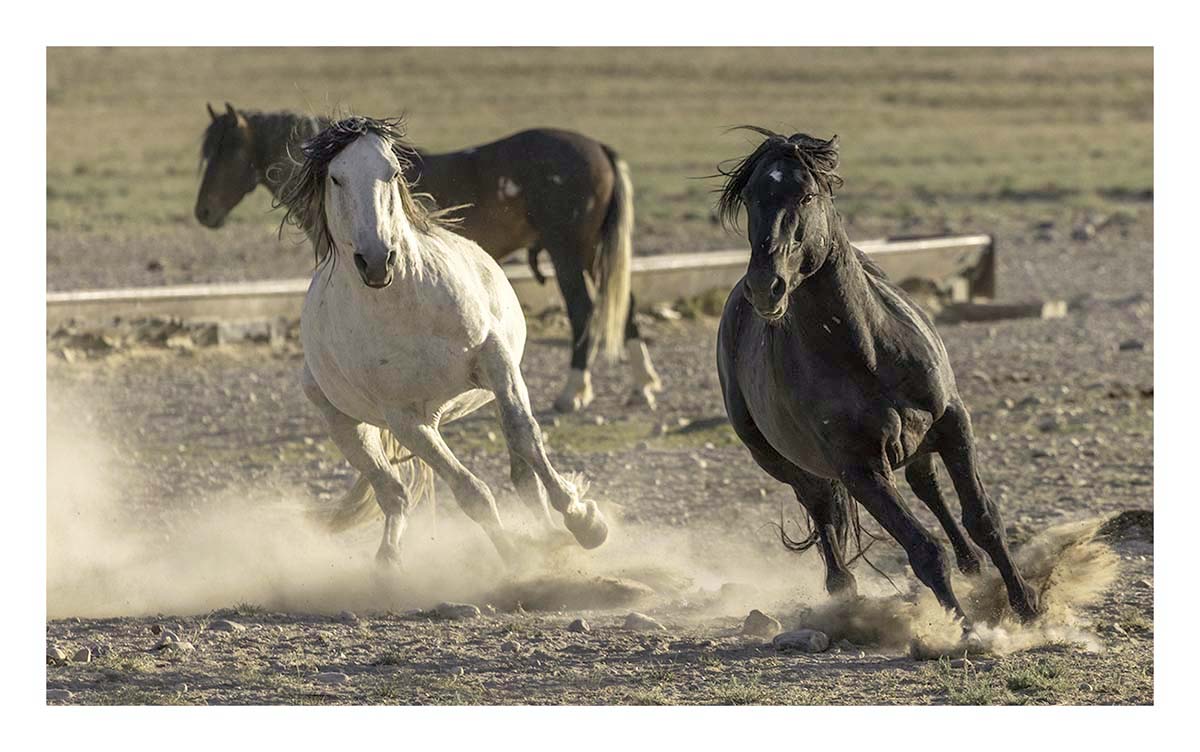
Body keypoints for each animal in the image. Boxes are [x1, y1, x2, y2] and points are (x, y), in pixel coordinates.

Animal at [196, 103, 663, 413]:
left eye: (227, 150)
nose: (203, 212)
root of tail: (597, 147)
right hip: (592, 253)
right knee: (624, 304)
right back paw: (642, 385)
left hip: (568, 252)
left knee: (584, 310)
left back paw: (573, 392)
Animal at [276, 115, 609, 567]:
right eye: (336, 178)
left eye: (392, 173)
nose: (377, 261)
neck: (407, 307)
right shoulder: (404, 419)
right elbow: (471, 493)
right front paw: (516, 558)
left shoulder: (495, 361)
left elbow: (526, 437)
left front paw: (585, 522)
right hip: (349, 425)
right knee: (394, 494)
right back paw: (388, 560)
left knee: (522, 474)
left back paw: (551, 534)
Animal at [713, 127, 1039, 624]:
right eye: (750, 198)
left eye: (806, 194)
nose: (765, 287)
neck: (865, 353)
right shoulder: (860, 469)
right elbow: (923, 550)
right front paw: (966, 628)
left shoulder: (953, 422)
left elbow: (984, 518)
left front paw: (1027, 605)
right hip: (781, 461)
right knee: (821, 507)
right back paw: (843, 588)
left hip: (920, 438)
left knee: (926, 485)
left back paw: (971, 563)